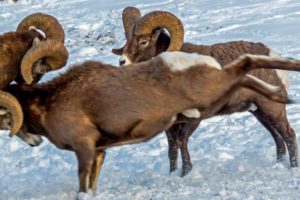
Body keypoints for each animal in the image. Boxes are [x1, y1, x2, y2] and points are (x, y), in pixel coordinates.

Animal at [0, 52, 300, 194]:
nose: (34, 142)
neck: (49, 103)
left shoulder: (84, 149)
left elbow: (83, 184)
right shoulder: (100, 152)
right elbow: (93, 184)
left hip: (214, 91)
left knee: (246, 63)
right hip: (216, 99)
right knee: (246, 74)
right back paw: (284, 94)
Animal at [112, 6, 298, 175]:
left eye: (143, 41)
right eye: (127, 41)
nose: (122, 62)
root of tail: (272, 55)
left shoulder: (194, 119)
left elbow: (182, 142)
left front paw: (186, 173)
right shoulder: (170, 126)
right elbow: (172, 149)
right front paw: (173, 174)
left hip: (272, 109)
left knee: (289, 135)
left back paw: (293, 168)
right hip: (259, 112)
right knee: (277, 138)